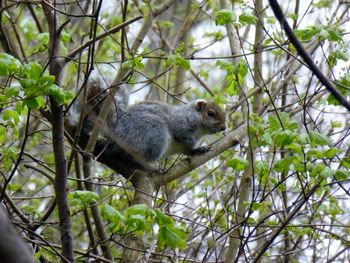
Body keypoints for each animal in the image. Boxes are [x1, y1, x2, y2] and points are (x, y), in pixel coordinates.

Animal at [70, 82, 227, 176]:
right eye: (210, 113)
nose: (224, 127)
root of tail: (116, 130)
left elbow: (186, 151)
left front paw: (198, 149)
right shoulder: (181, 125)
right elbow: (184, 139)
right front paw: (196, 149)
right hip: (154, 132)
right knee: (130, 155)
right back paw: (151, 168)